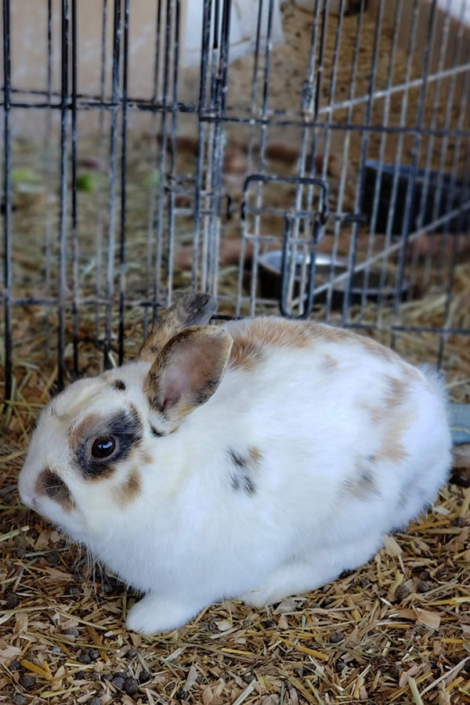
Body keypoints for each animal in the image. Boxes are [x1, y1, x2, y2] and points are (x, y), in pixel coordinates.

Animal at [18, 292, 452, 634]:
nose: (27, 492)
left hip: (350, 518)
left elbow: (180, 601)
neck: (170, 477)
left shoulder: (200, 576)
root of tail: (433, 407)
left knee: (341, 557)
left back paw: (265, 588)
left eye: (102, 447)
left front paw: (143, 620)